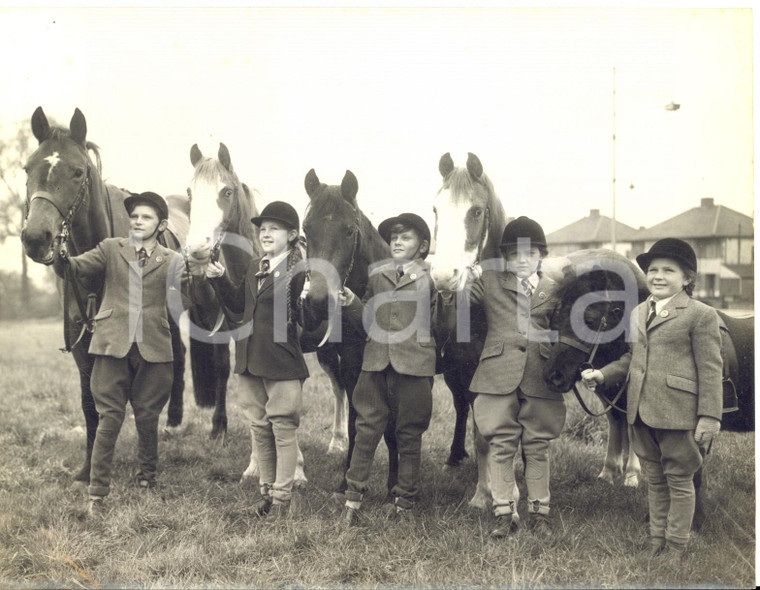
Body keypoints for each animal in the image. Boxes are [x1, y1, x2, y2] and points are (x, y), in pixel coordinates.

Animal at [19, 106, 199, 486]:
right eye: (28, 168)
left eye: (77, 172)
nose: (36, 238)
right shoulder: (81, 339)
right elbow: (90, 402)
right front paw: (88, 468)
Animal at [298, 169, 398, 498]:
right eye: (305, 229)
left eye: (349, 231)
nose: (317, 302)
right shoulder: (351, 360)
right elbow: (357, 416)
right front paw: (347, 481)